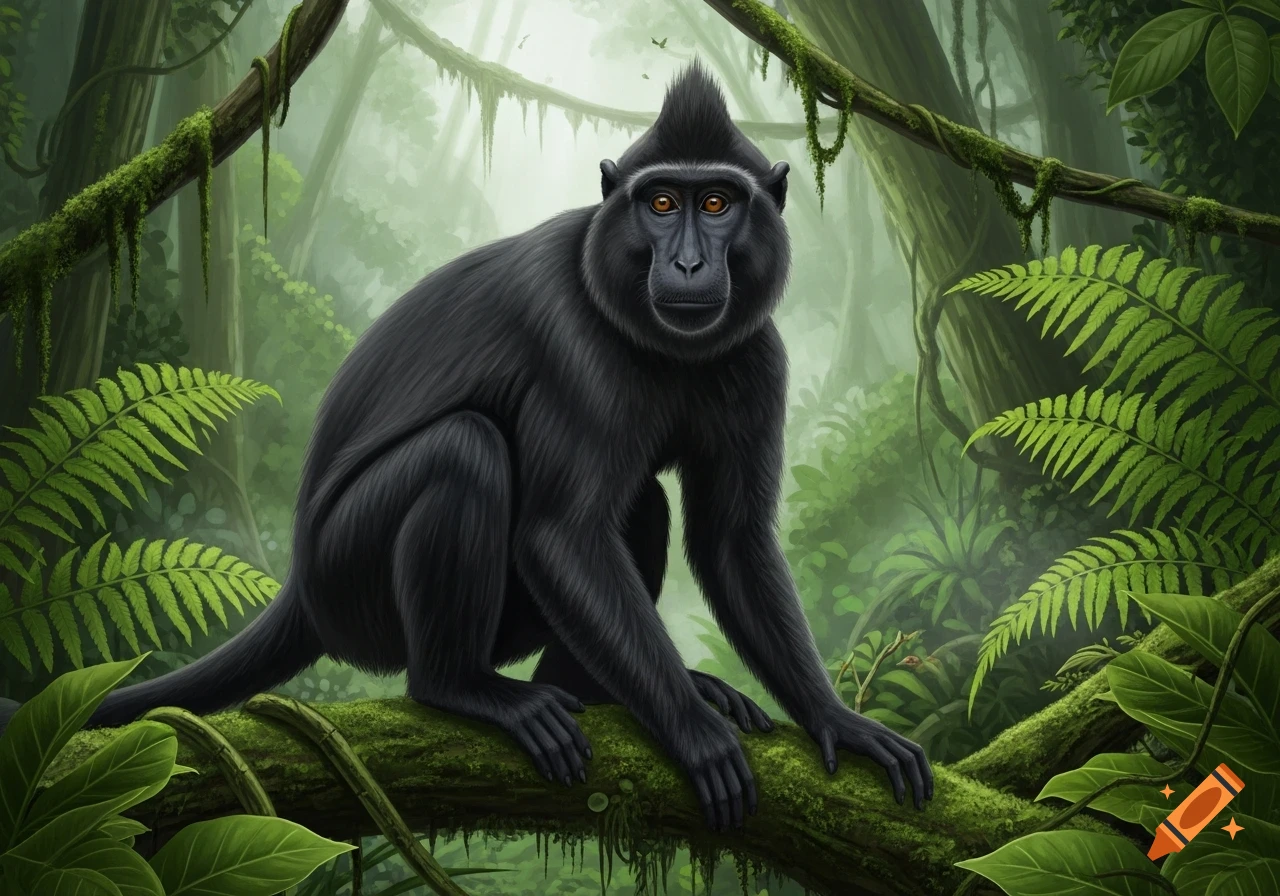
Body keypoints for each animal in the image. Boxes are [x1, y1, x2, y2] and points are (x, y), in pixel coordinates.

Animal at [0, 62, 932, 831]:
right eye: (662, 204)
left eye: (717, 203)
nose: (694, 264)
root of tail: (301, 582)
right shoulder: (572, 342)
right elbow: (560, 533)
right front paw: (693, 732)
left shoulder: (758, 359)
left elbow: (730, 539)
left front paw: (837, 720)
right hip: (353, 582)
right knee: (464, 452)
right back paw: (468, 689)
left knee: (637, 507)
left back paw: (583, 687)